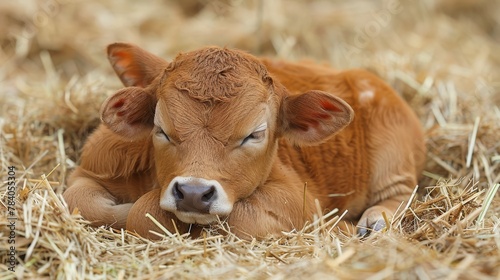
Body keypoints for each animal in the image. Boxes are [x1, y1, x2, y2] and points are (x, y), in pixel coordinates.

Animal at [60, 42, 424, 240]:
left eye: (254, 134)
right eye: (160, 128)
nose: (193, 193)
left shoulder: (298, 199)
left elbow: (237, 218)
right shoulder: (92, 168)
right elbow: (83, 202)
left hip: (393, 151)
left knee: (398, 194)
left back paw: (373, 221)